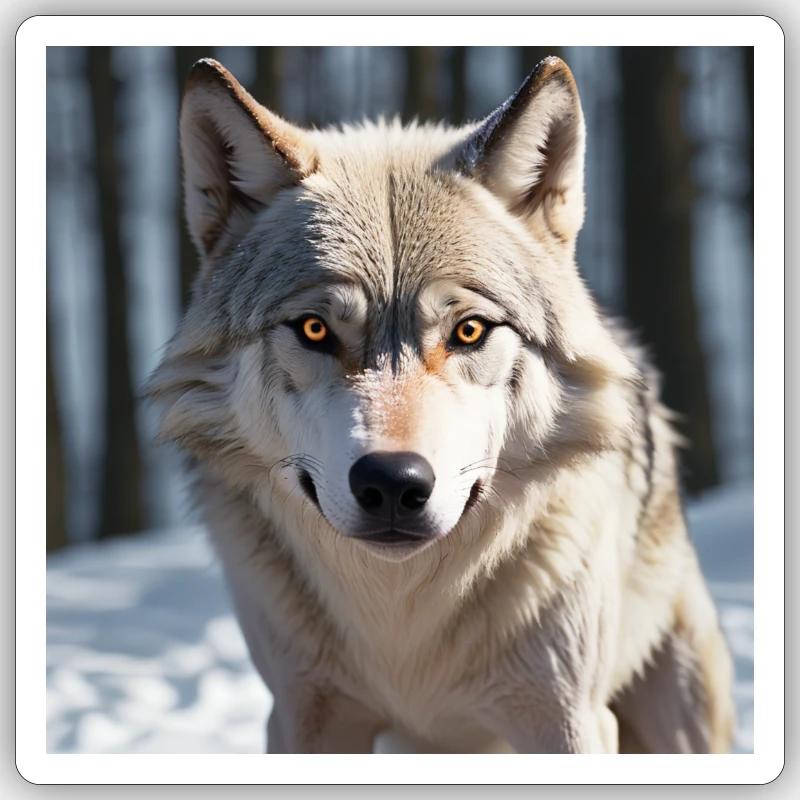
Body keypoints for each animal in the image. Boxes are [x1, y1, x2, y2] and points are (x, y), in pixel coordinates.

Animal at [148, 55, 734, 753]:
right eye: (315, 330)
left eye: (470, 330)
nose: (392, 484)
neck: (403, 624)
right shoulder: (303, 715)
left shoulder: (567, 719)